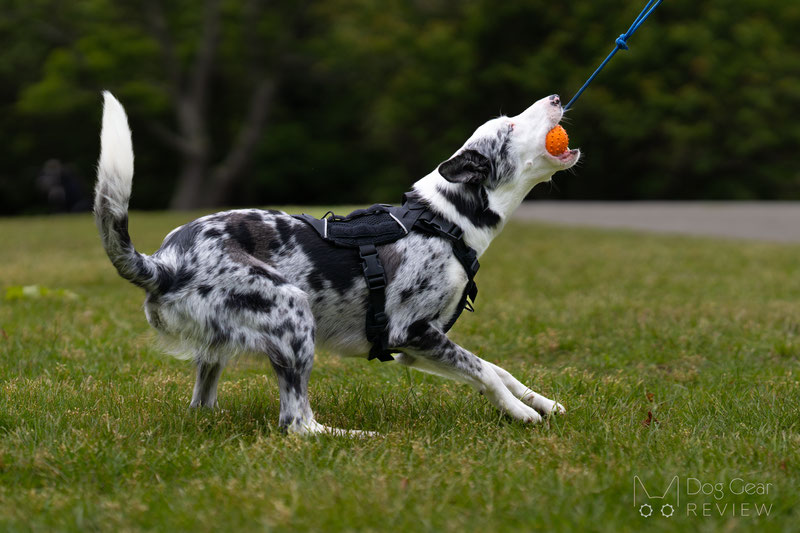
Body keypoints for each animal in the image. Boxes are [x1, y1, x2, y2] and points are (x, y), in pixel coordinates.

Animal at [95, 90, 580, 432]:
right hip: (291, 311)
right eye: (511, 125)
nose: (558, 97)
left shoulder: (415, 348)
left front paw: (538, 401)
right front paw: (521, 414)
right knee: (297, 423)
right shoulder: (412, 332)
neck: (444, 220)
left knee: (204, 406)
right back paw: (352, 437)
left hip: (218, 352)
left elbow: (498, 371)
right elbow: (487, 373)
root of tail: (164, 262)